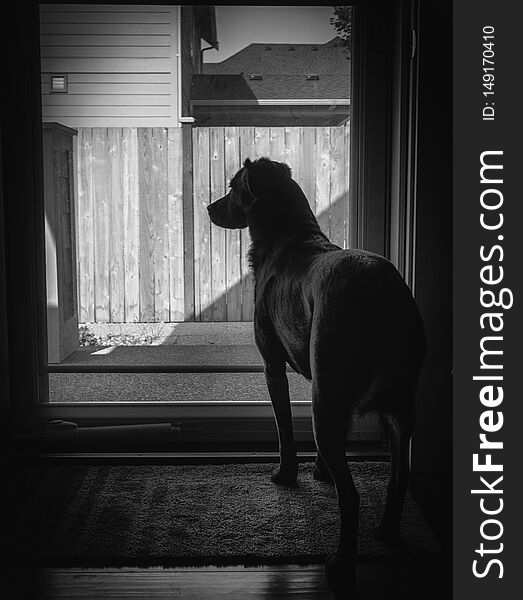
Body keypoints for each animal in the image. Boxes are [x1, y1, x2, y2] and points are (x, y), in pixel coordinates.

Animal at [208, 157, 426, 592]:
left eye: (233, 187)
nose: (209, 207)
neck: (290, 235)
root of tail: (384, 294)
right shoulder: (324, 390)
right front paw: (322, 472)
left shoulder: (273, 367)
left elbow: (285, 431)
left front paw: (286, 475)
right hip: (395, 405)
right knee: (398, 476)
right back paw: (387, 533)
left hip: (332, 399)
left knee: (352, 495)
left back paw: (341, 564)